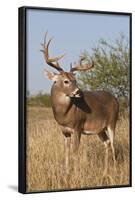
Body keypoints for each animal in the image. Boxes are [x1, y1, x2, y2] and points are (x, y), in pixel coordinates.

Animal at [40, 32, 118, 175]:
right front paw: (66, 172)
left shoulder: (77, 127)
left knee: (113, 143)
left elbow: (75, 151)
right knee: (107, 143)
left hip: (112, 122)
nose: (78, 91)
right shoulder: (64, 131)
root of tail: (115, 99)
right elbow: (66, 151)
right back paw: (105, 171)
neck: (64, 115)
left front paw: (76, 173)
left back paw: (114, 170)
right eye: (66, 81)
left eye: (75, 80)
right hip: (100, 129)